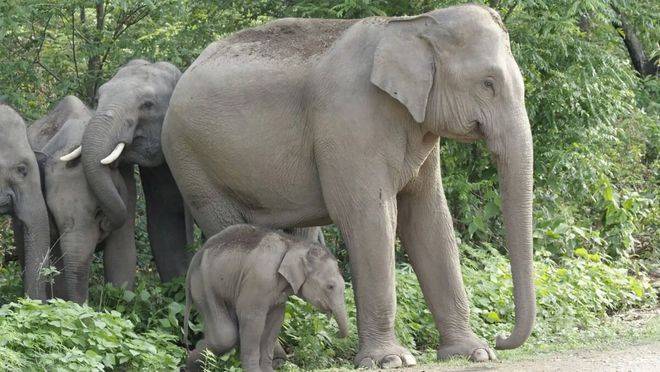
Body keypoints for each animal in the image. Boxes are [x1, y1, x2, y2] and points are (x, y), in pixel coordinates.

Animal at [184, 224, 350, 372]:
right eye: (330, 286)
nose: (336, 334)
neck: (293, 244)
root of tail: (196, 255)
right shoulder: (260, 279)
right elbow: (251, 317)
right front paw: (254, 371)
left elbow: (275, 322)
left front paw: (268, 370)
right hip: (203, 285)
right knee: (225, 336)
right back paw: (188, 366)